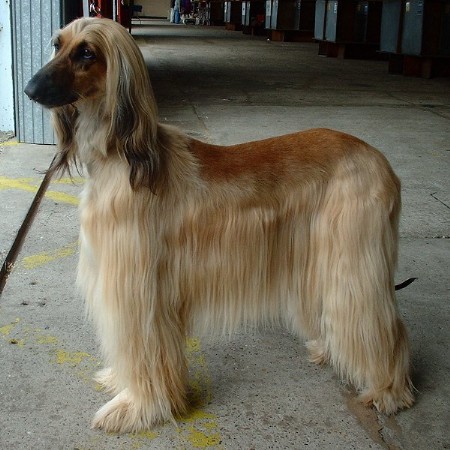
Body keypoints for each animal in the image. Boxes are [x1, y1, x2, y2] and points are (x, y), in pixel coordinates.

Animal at [22, 17, 414, 432]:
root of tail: (381, 161)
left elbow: (143, 350)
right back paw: (328, 349)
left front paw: (138, 406)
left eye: (86, 52)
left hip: (354, 260)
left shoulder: (138, 287)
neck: (123, 155)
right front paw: (120, 381)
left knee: (383, 327)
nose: (29, 89)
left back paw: (389, 390)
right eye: (57, 44)